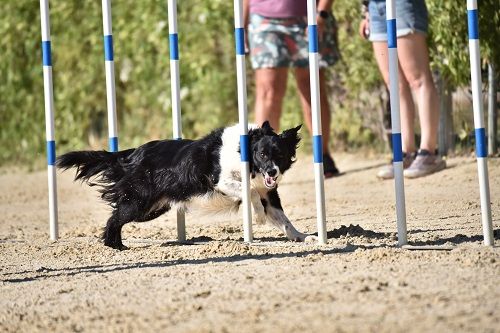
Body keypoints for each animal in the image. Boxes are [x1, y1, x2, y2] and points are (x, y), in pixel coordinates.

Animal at [56, 120, 314, 248]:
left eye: (280, 155)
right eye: (261, 154)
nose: (272, 171)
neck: (243, 150)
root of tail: (132, 154)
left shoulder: (268, 193)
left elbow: (284, 220)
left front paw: (303, 237)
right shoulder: (220, 180)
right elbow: (249, 192)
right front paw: (258, 215)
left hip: (154, 207)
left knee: (116, 217)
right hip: (140, 203)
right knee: (115, 218)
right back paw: (115, 246)